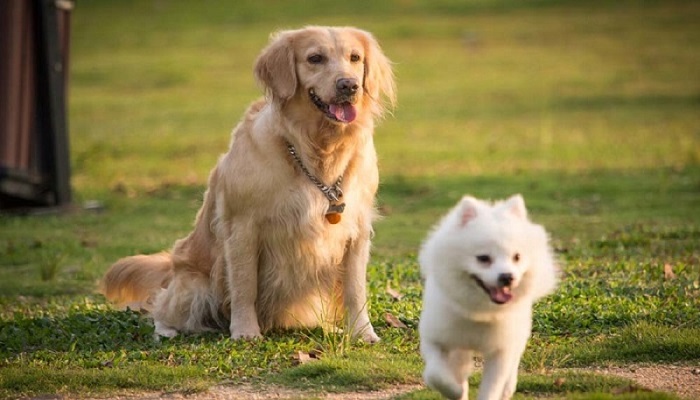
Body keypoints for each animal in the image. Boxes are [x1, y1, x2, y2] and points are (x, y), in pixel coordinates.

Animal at [100, 26, 394, 342]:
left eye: (355, 58)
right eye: (315, 58)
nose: (349, 85)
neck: (315, 152)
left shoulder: (356, 229)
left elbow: (355, 289)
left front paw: (362, 332)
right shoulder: (243, 227)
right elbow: (245, 286)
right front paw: (245, 330)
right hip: (194, 287)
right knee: (162, 306)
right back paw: (168, 330)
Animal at [418, 195, 560, 400]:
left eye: (517, 257)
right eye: (483, 258)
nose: (507, 276)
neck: (480, 312)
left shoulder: (500, 351)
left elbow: (493, 386)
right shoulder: (435, 339)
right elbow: (436, 374)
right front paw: (455, 390)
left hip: (518, 332)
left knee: (514, 360)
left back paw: (508, 388)